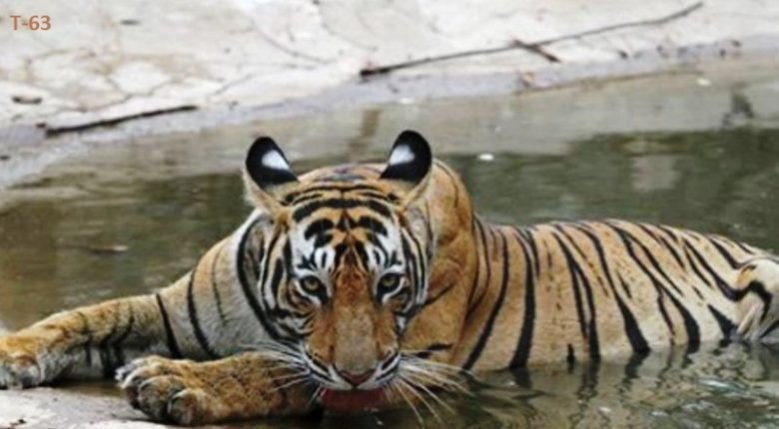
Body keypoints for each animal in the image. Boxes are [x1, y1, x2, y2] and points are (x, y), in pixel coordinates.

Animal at [1, 130, 778, 425]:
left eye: (390, 286)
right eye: (312, 286)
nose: (354, 370)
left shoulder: (410, 369)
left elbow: (274, 367)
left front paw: (172, 382)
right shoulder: (170, 308)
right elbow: (87, 314)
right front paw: (12, 352)